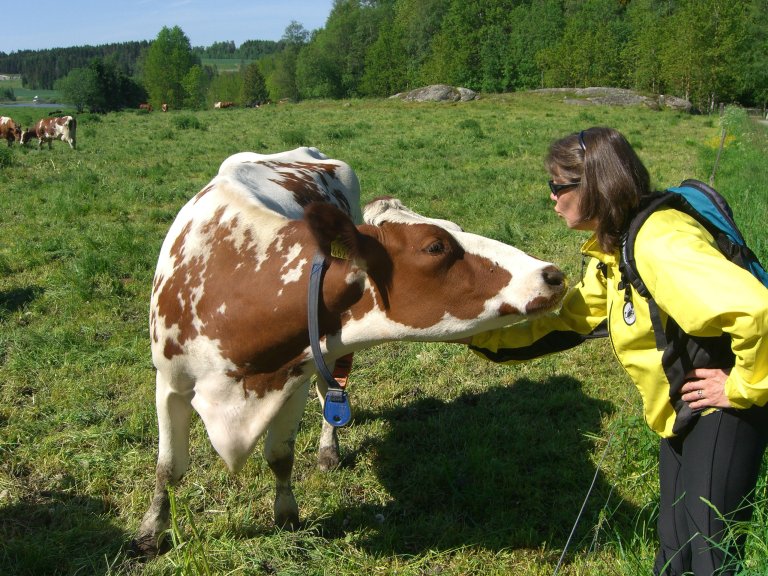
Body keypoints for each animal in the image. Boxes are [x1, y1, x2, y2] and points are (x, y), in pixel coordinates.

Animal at [129, 146, 568, 556]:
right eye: (435, 246)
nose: (552, 274)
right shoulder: (169, 382)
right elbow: (168, 468)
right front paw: (151, 531)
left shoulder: (295, 375)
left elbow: (280, 455)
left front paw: (286, 516)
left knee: (332, 392)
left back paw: (328, 450)